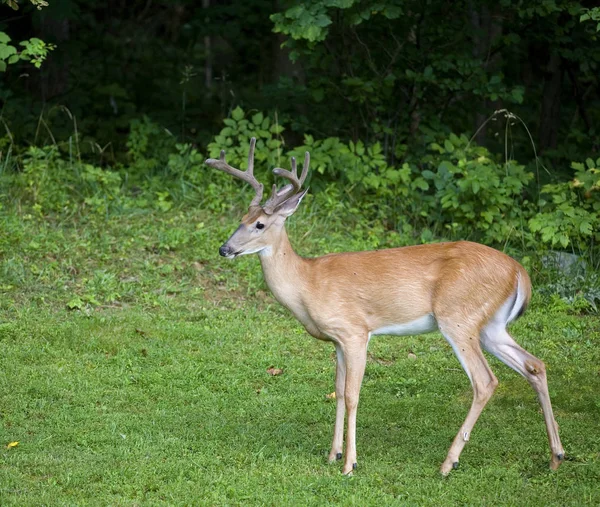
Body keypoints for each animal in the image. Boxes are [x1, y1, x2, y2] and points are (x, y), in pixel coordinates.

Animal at [205, 138, 564, 476]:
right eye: (241, 219)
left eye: (260, 225)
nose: (224, 248)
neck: (308, 283)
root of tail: (519, 272)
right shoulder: (337, 340)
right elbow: (337, 391)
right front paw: (333, 454)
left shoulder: (355, 331)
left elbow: (352, 394)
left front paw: (350, 464)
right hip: (490, 325)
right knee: (535, 364)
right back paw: (555, 456)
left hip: (458, 317)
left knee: (485, 381)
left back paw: (448, 463)